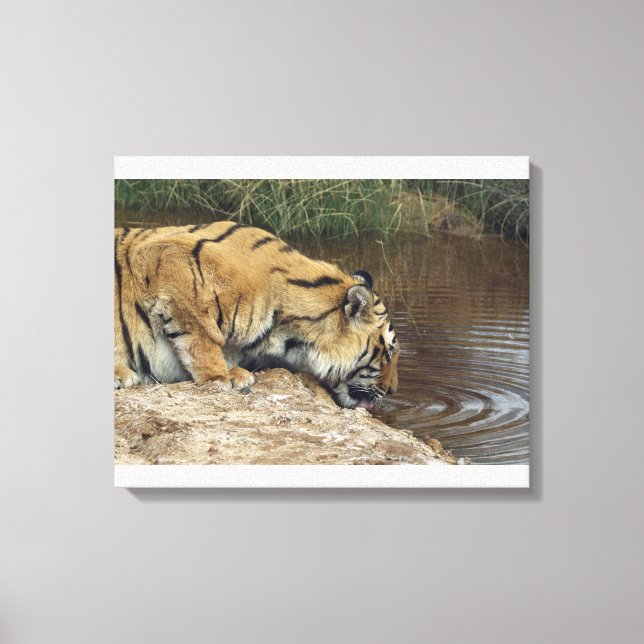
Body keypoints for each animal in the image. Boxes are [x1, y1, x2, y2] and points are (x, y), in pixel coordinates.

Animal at [114, 221, 399, 409]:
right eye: (388, 353)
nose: (393, 390)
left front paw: (235, 372)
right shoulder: (165, 257)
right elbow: (201, 337)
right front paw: (220, 377)